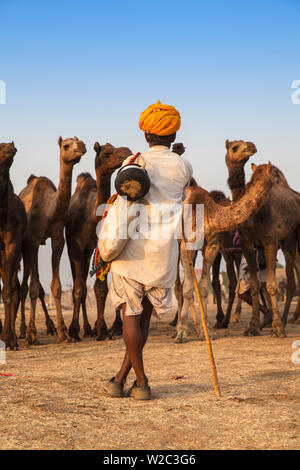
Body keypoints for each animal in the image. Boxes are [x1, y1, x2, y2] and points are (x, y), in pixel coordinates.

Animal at [18, 136, 86, 346]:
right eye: (66, 145)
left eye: (79, 141)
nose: (81, 147)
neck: (49, 210)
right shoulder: (31, 241)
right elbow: (33, 288)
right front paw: (31, 334)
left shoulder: (57, 238)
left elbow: (55, 287)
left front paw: (63, 333)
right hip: (22, 248)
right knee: (24, 286)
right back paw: (23, 331)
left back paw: (49, 327)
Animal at [65, 141, 131, 340]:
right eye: (106, 153)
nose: (127, 151)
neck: (91, 216)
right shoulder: (76, 248)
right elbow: (79, 288)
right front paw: (73, 331)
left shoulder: (101, 248)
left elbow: (101, 288)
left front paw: (102, 328)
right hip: (76, 251)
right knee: (78, 285)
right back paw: (84, 328)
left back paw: (96, 328)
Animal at [175, 162, 274, 342]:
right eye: (275, 173)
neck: (208, 214)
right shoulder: (187, 245)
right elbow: (187, 288)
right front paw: (181, 333)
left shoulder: (212, 246)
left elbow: (203, 287)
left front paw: (204, 331)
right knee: (180, 286)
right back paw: (179, 329)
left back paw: (196, 328)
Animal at [224, 138, 300, 336]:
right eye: (234, 146)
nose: (251, 145)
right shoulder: (247, 245)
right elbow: (255, 285)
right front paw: (252, 327)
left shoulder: (270, 241)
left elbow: (272, 285)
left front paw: (277, 328)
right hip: (288, 242)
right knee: (292, 280)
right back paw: (285, 319)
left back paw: (285, 321)